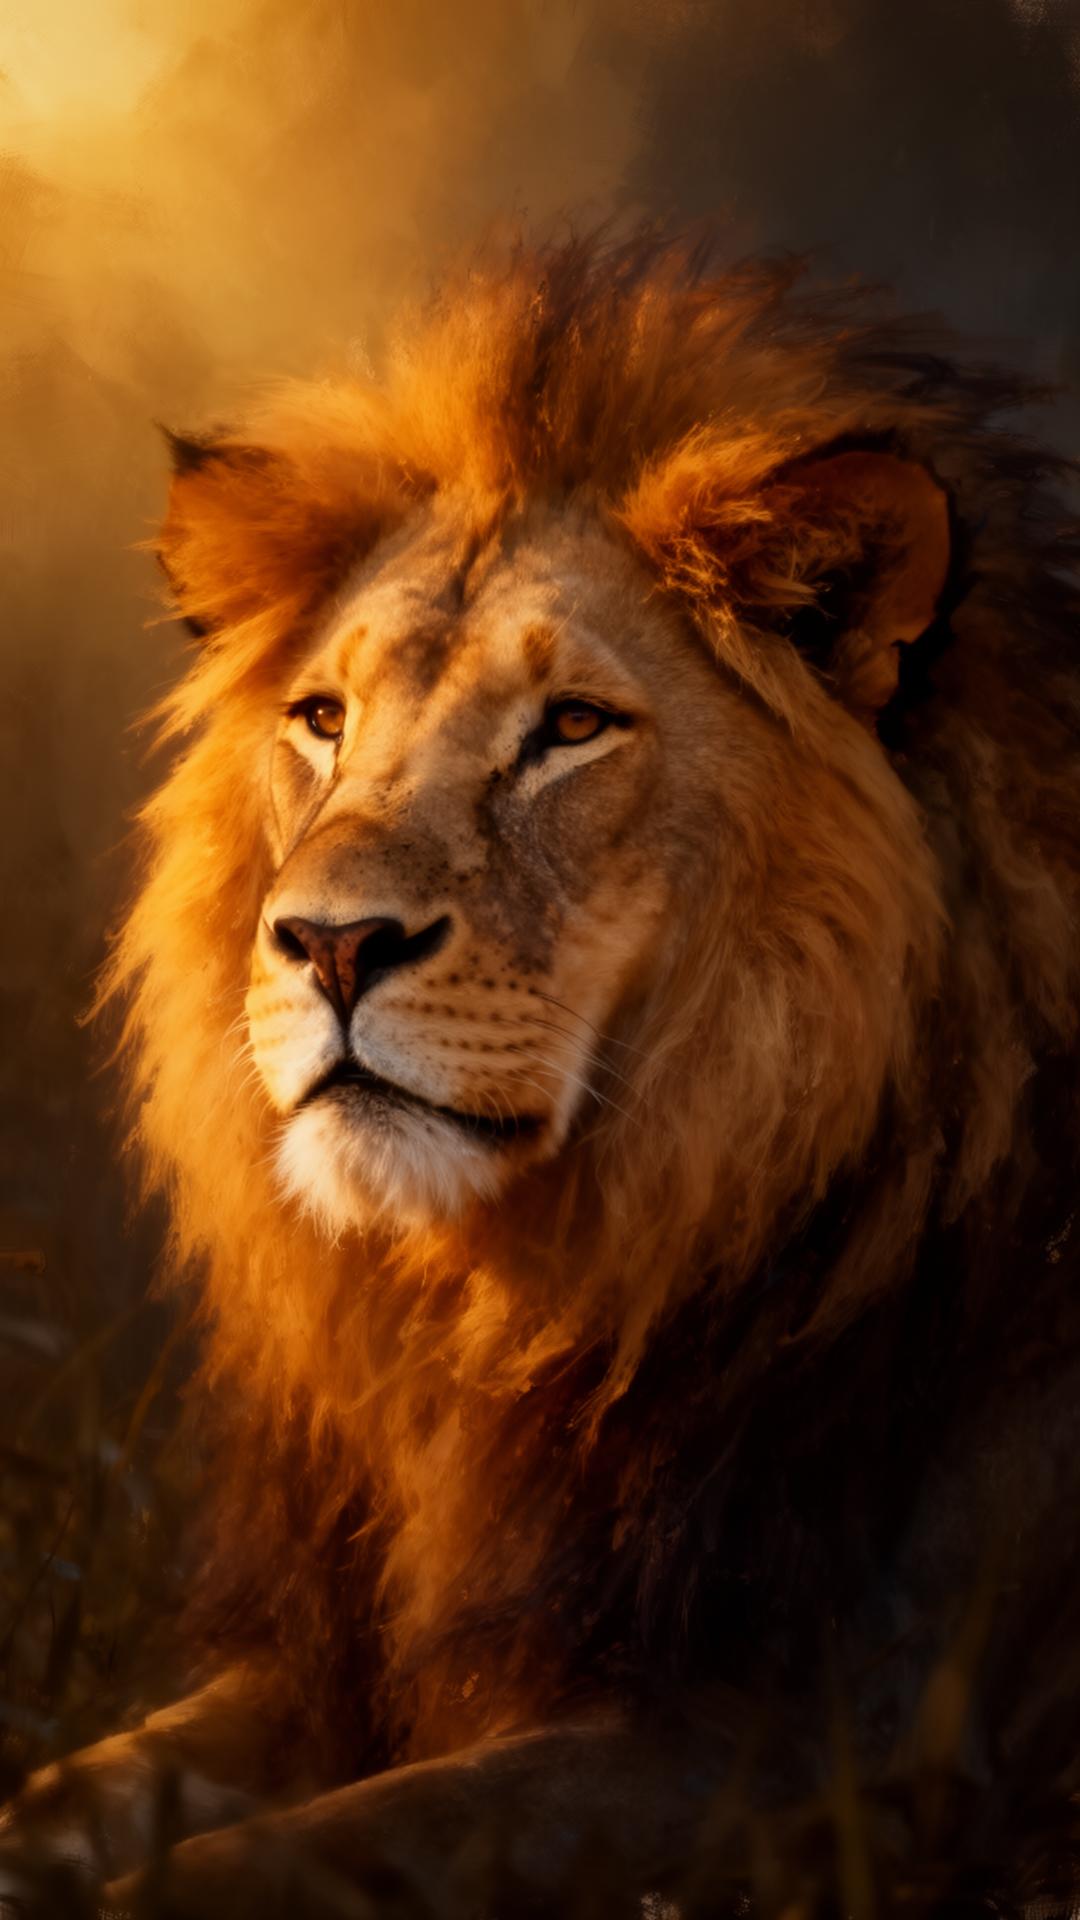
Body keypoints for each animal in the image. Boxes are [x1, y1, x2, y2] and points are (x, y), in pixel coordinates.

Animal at [3, 230, 1080, 1918]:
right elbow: (66, 1796)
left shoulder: (830, 1753)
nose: (327, 944)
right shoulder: (345, 1656)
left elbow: (292, 1858)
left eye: (572, 727)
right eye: (324, 719)